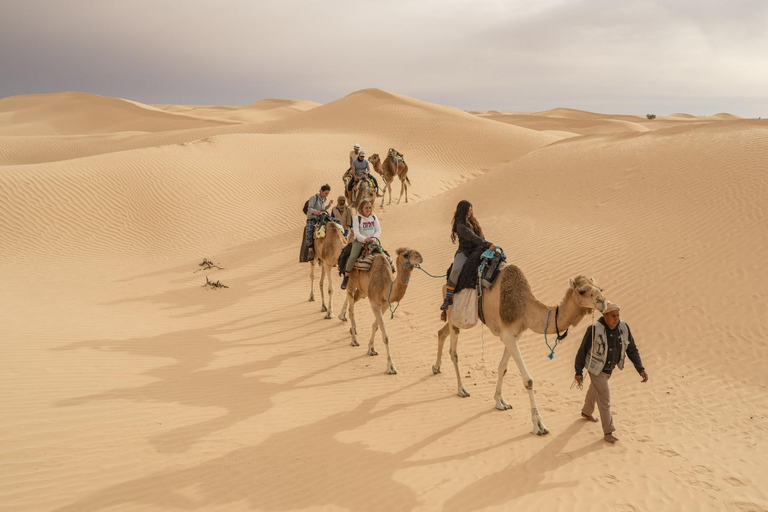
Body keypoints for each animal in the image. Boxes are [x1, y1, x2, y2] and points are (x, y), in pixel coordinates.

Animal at [340, 246, 424, 374]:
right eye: (405, 254)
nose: (420, 257)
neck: (386, 286)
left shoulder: (384, 304)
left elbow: (375, 326)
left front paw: (371, 349)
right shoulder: (374, 303)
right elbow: (386, 336)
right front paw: (391, 367)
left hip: (363, 291)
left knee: (353, 301)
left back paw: (345, 321)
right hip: (350, 283)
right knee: (351, 309)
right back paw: (354, 340)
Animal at [432, 264, 608, 436]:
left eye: (600, 288)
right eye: (582, 291)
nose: (603, 302)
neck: (524, 307)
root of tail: (445, 283)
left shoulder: (515, 335)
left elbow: (502, 368)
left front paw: (500, 402)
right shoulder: (508, 335)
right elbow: (528, 380)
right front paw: (539, 425)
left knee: (441, 333)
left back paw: (436, 367)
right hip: (455, 314)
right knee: (454, 351)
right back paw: (461, 389)